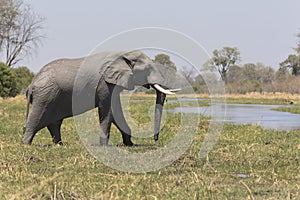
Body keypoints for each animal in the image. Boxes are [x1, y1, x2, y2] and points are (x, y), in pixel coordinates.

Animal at [22, 50, 176, 146]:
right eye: (148, 69)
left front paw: (129, 144)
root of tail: (31, 85)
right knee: (36, 119)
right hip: (44, 96)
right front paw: (105, 146)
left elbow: (115, 111)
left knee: (54, 123)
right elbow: (107, 110)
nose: (156, 140)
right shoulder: (105, 83)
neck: (123, 54)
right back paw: (26, 144)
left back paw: (59, 144)